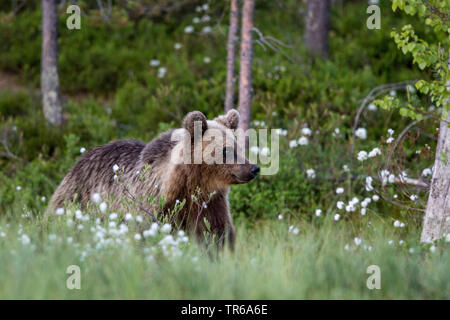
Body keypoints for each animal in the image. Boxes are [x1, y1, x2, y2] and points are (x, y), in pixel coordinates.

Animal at [48, 110, 258, 248]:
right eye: (225, 150)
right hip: (79, 199)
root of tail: (79, 160)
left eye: (239, 147)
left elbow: (217, 232)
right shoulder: (154, 204)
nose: (254, 168)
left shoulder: (211, 203)